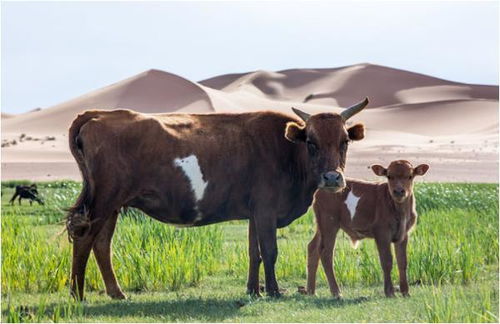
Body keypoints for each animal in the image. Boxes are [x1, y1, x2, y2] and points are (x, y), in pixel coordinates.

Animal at [66, 97, 370, 300]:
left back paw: (116, 292)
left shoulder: (254, 212)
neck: (287, 151)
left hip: (112, 205)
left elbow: (254, 252)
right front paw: (273, 291)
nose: (332, 178)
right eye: (311, 143)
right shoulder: (266, 210)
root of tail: (100, 114)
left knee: (102, 244)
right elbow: (270, 251)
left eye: (344, 142)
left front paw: (253, 290)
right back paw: (77, 293)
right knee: (85, 239)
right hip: (103, 201)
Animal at [304, 161, 430, 298]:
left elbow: (402, 261)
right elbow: (387, 261)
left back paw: (311, 291)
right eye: (389, 176)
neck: (400, 210)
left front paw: (406, 292)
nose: (398, 191)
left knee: (313, 248)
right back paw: (336, 292)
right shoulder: (382, 233)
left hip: (321, 225)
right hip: (329, 223)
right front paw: (389, 292)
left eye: (410, 176)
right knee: (326, 253)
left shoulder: (403, 234)